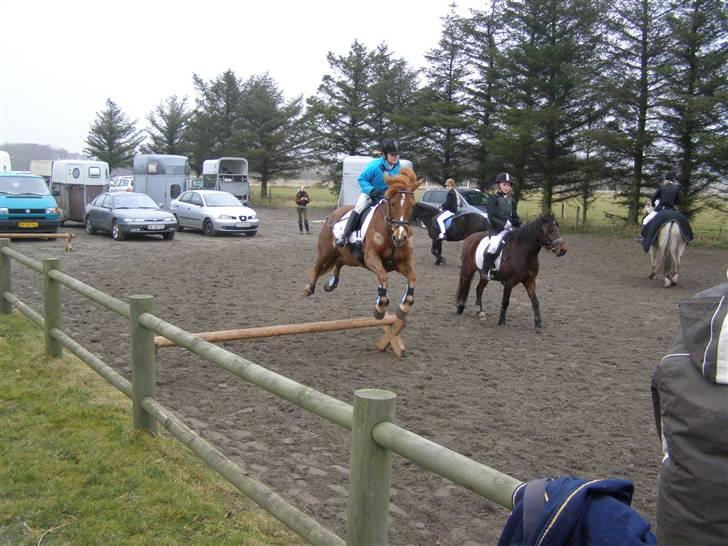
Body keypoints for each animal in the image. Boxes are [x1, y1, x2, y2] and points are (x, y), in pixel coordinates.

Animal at [304, 167, 424, 318]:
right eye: (393, 204)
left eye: (412, 205)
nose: (400, 237)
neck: (389, 231)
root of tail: (332, 215)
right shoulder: (371, 257)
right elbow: (383, 277)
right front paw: (380, 307)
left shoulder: (401, 262)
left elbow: (412, 278)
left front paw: (403, 307)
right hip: (326, 252)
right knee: (317, 266)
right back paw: (309, 288)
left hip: (349, 257)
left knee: (339, 262)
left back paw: (331, 284)